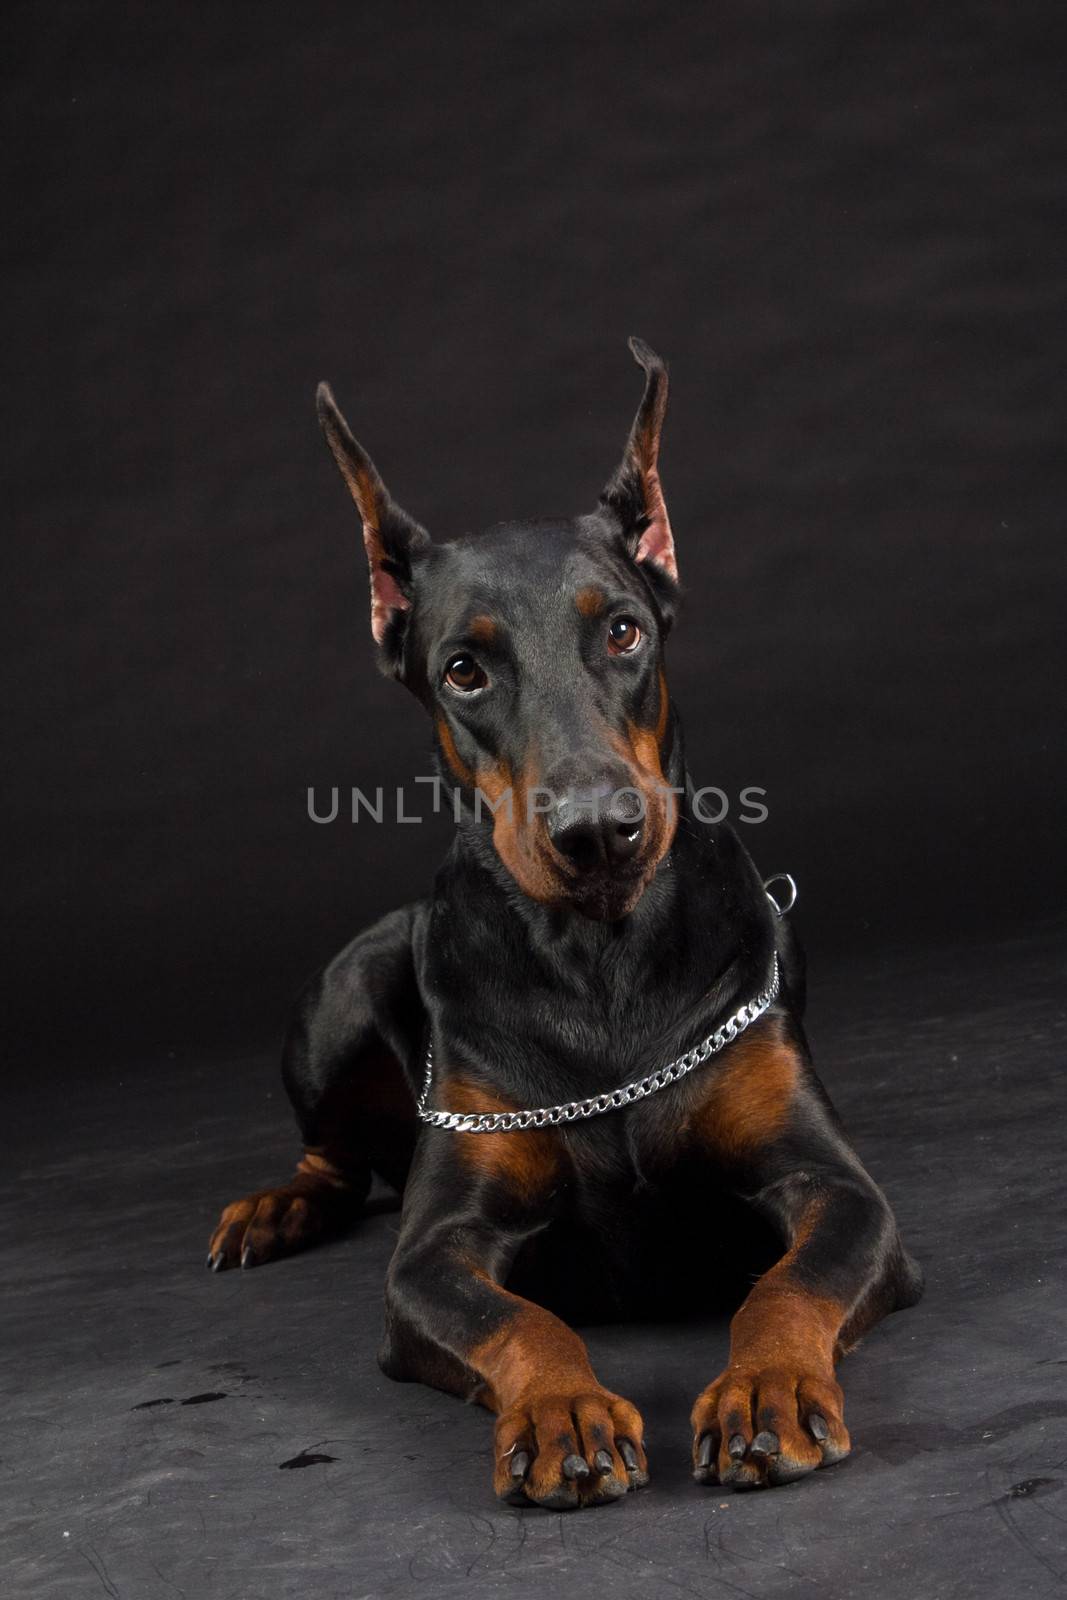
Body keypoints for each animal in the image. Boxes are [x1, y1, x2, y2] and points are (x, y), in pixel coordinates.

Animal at [211, 344, 927, 1504]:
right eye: (463, 669)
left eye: (622, 630)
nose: (597, 832)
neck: (601, 964)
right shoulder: (435, 1248)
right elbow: (519, 1318)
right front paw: (562, 1412)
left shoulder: (838, 1190)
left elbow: (784, 1282)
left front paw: (764, 1389)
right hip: (345, 988)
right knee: (333, 1159)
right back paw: (276, 1206)